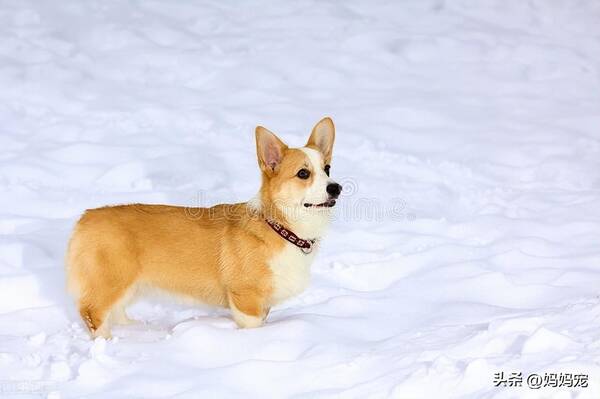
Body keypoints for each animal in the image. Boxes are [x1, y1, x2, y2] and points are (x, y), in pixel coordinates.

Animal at [66, 117, 342, 340]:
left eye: (327, 169)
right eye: (303, 173)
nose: (336, 188)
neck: (280, 227)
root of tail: (85, 217)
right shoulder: (247, 300)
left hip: (130, 286)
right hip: (112, 281)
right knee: (93, 313)